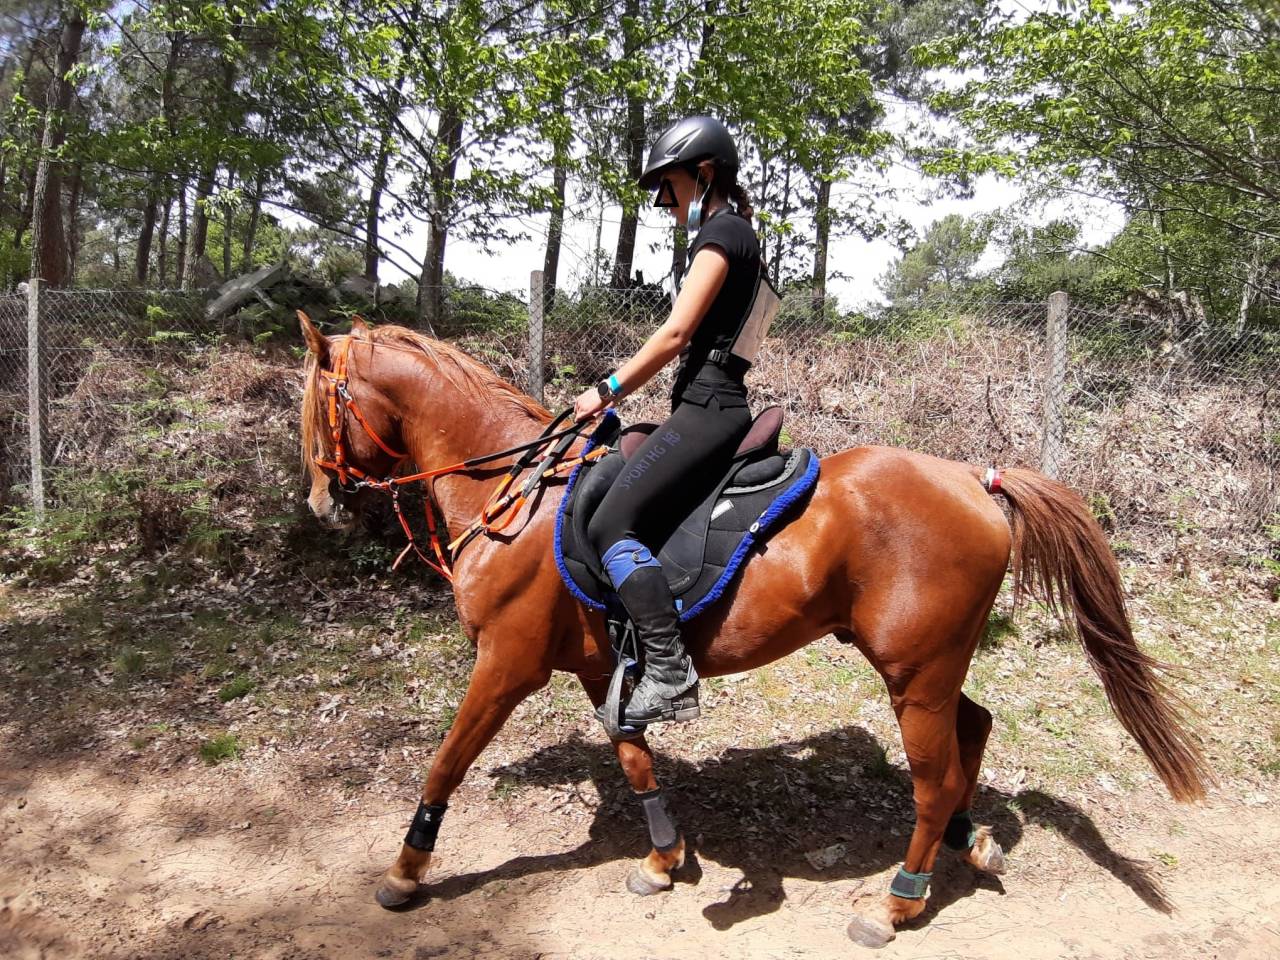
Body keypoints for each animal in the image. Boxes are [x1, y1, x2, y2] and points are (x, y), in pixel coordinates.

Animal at [297, 314, 1208, 946]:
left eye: (315, 408)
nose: (318, 503)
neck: (516, 492)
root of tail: (974, 482)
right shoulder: (598, 668)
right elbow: (633, 757)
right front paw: (663, 859)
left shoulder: (507, 664)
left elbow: (445, 762)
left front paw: (406, 869)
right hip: (931, 663)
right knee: (972, 732)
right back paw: (966, 842)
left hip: (913, 672)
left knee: (934, 774)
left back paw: (896, 903)